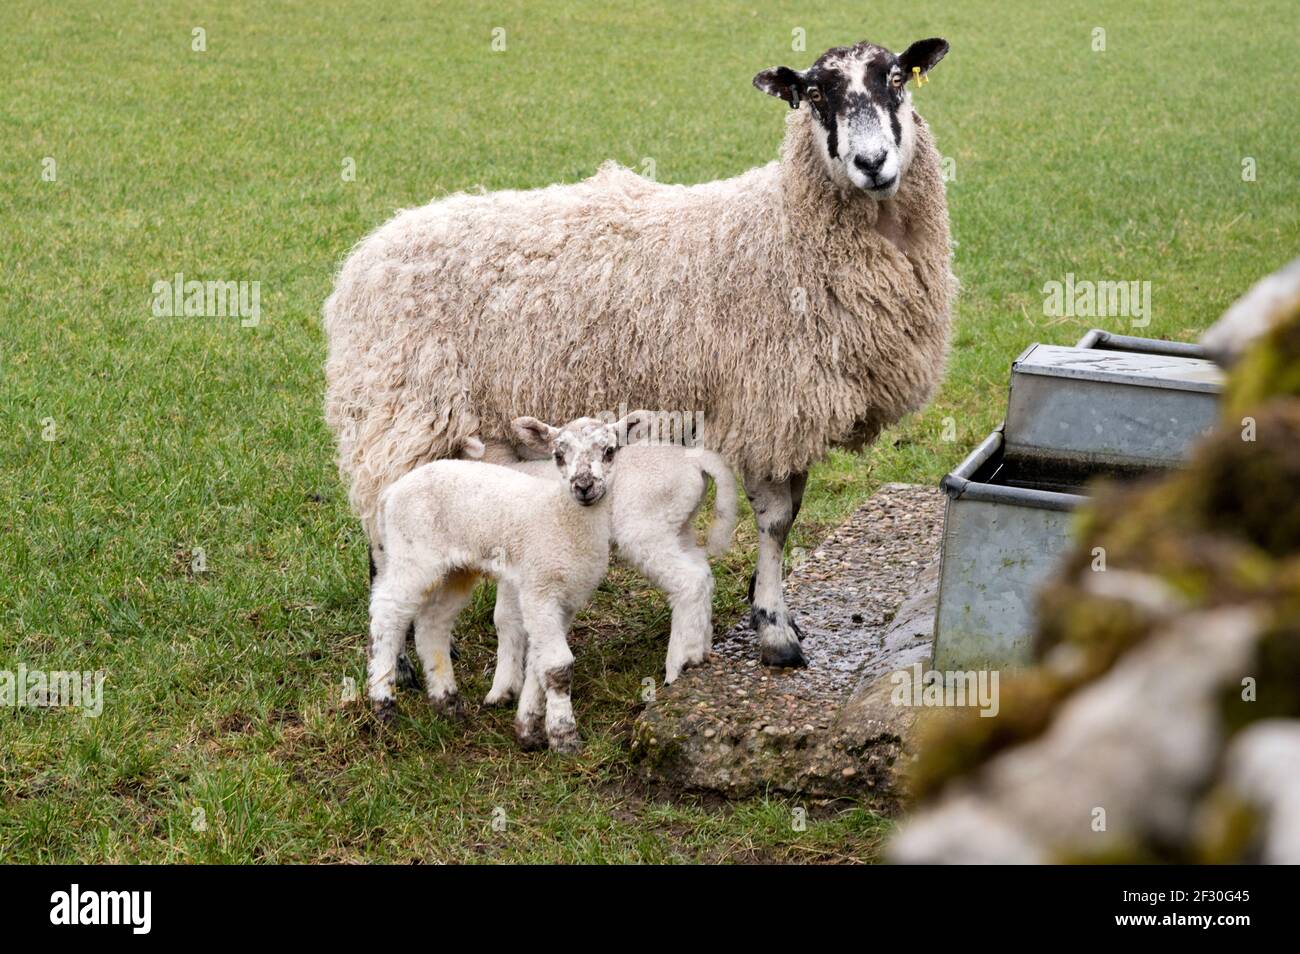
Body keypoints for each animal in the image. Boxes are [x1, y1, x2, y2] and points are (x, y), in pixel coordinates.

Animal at [325, 33, 956, 670]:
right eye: (814, 94)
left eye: (896, 78)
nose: (872, 163)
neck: (783, 227)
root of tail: (367, 253)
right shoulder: (766, 402)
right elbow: (777, 522)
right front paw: (775, 631)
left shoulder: (789, 406)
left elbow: (789, 517)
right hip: (403, 409)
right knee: (384, 524)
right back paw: (401, 662)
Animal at [366, 415, 639, 748]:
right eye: (558, 455)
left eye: (610, 451)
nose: (584, 486)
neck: (559, 517)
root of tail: (390, 493)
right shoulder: (539, 589)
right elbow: (558, 666)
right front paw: (564, 736)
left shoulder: (567, 600)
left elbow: (539, 662)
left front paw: (528, 728)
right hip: (411, 555)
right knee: (387, 614)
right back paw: (383, 704)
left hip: (455, 569)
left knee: (432, 624)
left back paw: (448, 704)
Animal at [465, 434, 743, 701]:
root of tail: (694, 459)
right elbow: (506, 617)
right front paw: (504, 688)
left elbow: (508, 619)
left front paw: (504, 687)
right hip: (677, 526)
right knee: (703, 574)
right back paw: (700, 650)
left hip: (645, 525)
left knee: (690, 580)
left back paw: (678, 665)